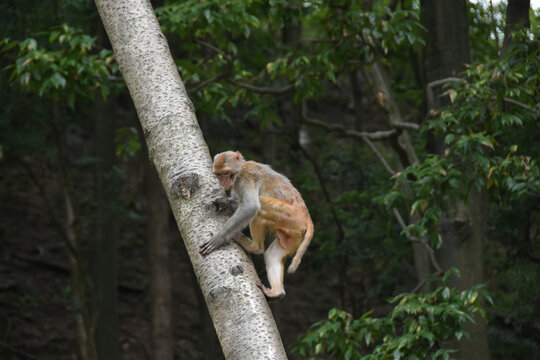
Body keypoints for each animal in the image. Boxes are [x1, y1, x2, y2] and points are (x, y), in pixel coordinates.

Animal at [200, 150, 314, 300]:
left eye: (226, 173)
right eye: (219, 175)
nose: (223, 183)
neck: (239, 169)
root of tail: (306, 216)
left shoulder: (244, 178)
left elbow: (251, 206)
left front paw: (219, 238)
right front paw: (226, 202)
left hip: (289, 216)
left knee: (260, 206)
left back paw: (254, 247)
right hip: (294, 235)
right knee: (272, 255)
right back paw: (277, 292)